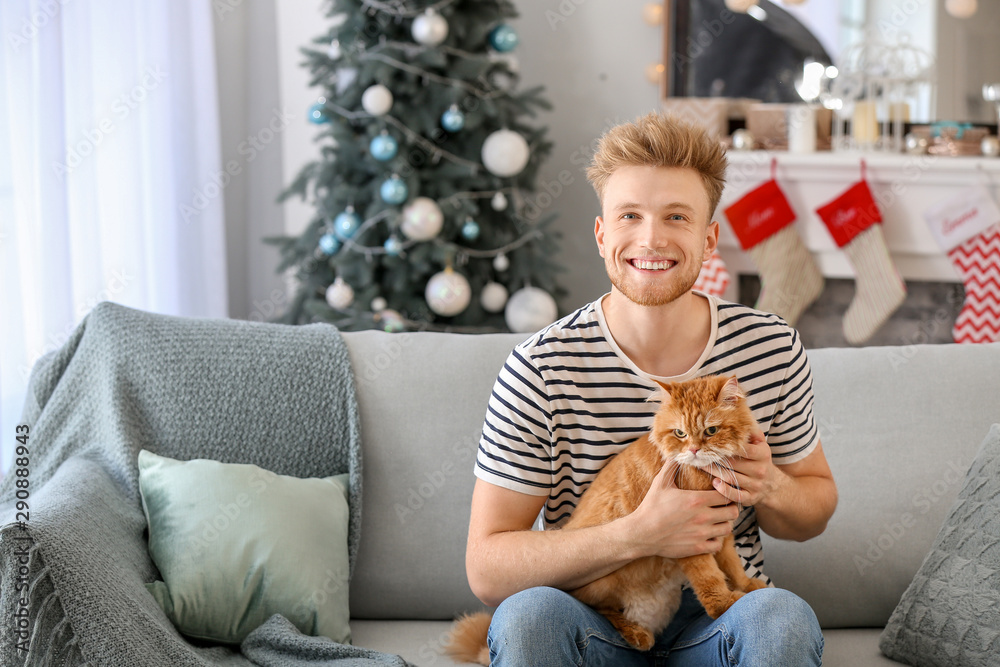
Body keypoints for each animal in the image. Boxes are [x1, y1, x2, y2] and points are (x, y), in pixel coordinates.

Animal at [446, 376, 764, 664]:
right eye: (680, 433)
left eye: (711, 430)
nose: (695, 450)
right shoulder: (690, 541)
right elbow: (710, 580)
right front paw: (725, 602)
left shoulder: (722, 532)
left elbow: (732, 566)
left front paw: (747, 585)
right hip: (602, 583)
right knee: (602, 610)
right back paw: (637, 634)